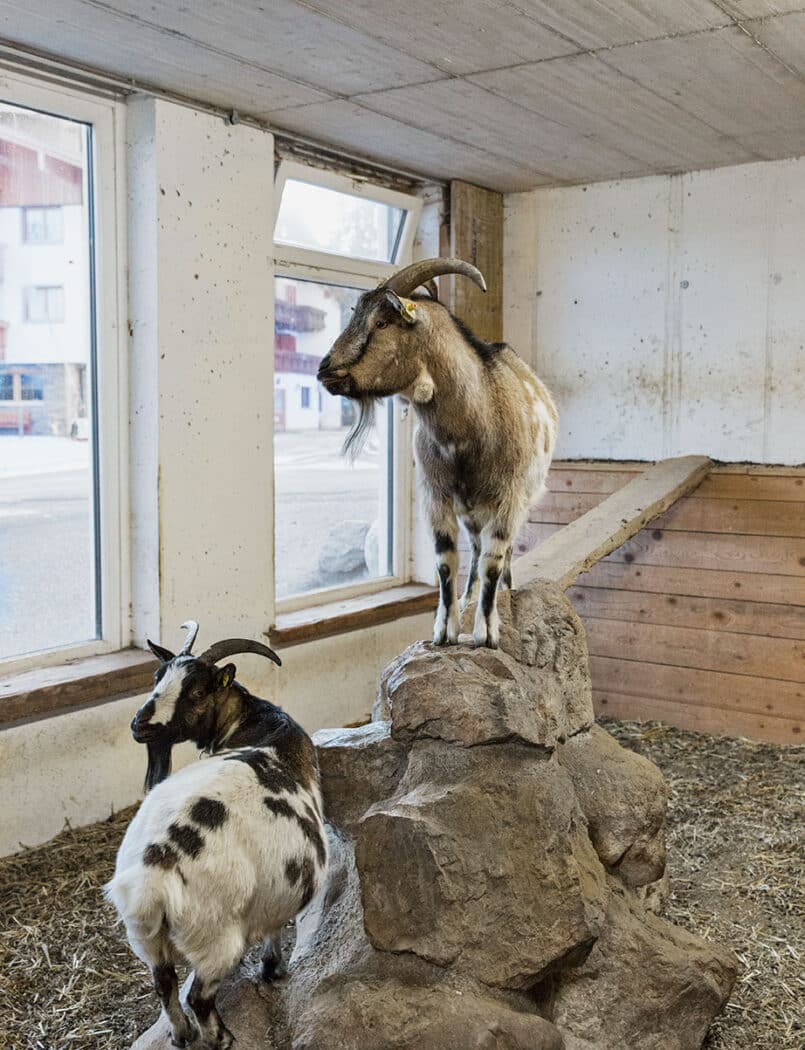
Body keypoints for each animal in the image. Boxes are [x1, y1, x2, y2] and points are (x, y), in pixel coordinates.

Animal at [106, 621, 327, 1050]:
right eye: (158, 677)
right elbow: (275, 926)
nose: (141, 724)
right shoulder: (275, 893)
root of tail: (157, 871)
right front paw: (274, 969)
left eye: (195, 690)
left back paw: (181, 1034)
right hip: (215, 936)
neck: (259, 725)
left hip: (145, 936)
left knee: (164, 982)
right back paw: (220, 1037)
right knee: (198, 996)